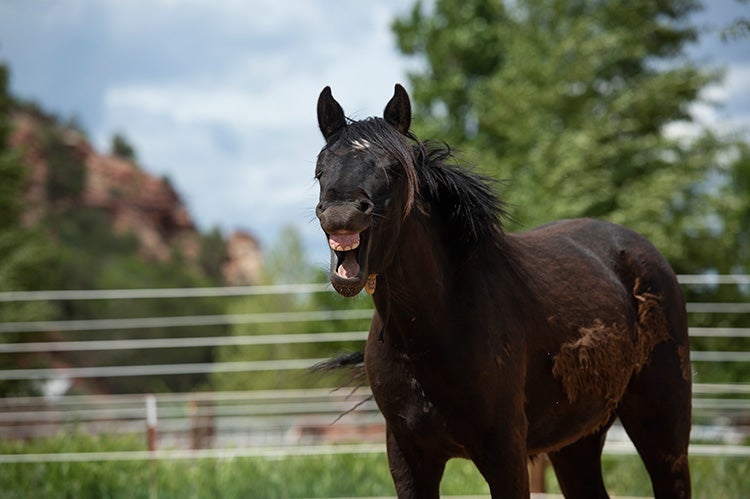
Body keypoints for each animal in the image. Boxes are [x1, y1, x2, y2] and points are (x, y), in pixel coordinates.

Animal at [314, 84, 692, 498]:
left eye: (394, 168)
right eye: (320, 168)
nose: (342, 215)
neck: (431, 333)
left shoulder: (505, 454)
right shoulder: (409, 457)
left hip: (664, 433)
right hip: (576, 441)